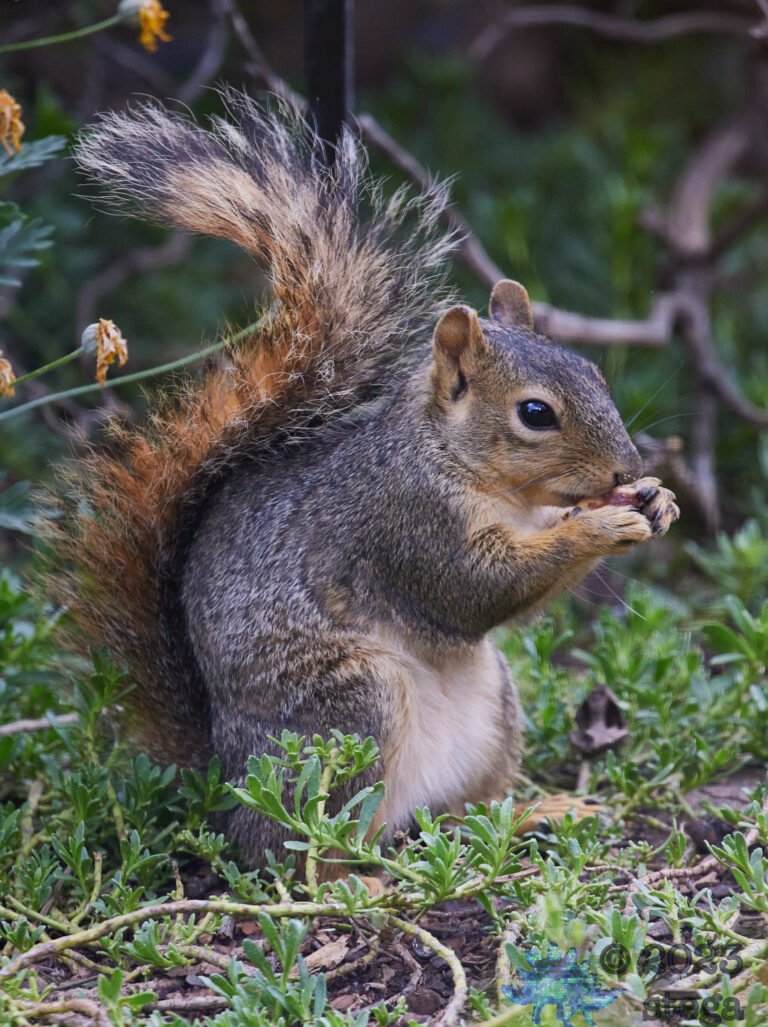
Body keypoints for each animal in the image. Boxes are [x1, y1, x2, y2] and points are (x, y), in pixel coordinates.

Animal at [47, 91, 680, 868]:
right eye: (536, 413)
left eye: (594, 373)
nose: (627, 469)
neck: (484, 480)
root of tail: (224, 783)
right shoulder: (406, 520)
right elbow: (476, 590)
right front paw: (604, 522)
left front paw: (657, 500)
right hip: (347, 711)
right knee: (302, 847)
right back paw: (360, 872)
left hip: (491, 712)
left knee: (455, 814)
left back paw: (533, 810)